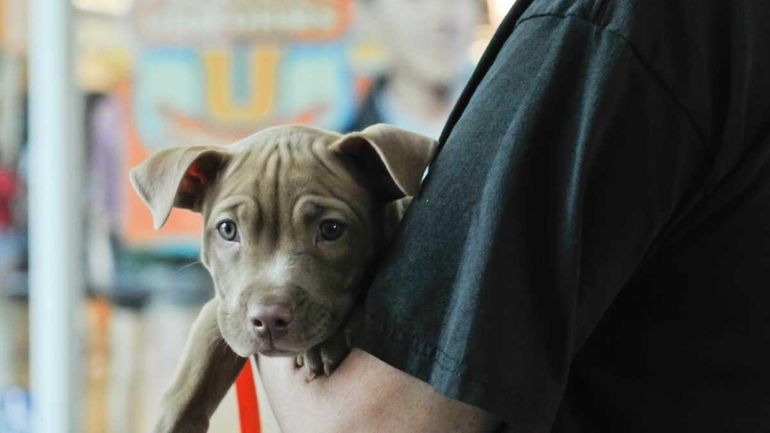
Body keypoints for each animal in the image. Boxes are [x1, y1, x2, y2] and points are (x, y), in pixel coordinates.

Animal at [129, 123, 436, 430]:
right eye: (228, 229)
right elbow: (193, 374)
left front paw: (323, 346)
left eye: (332, 229)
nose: (268, 320)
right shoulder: (223, 308)